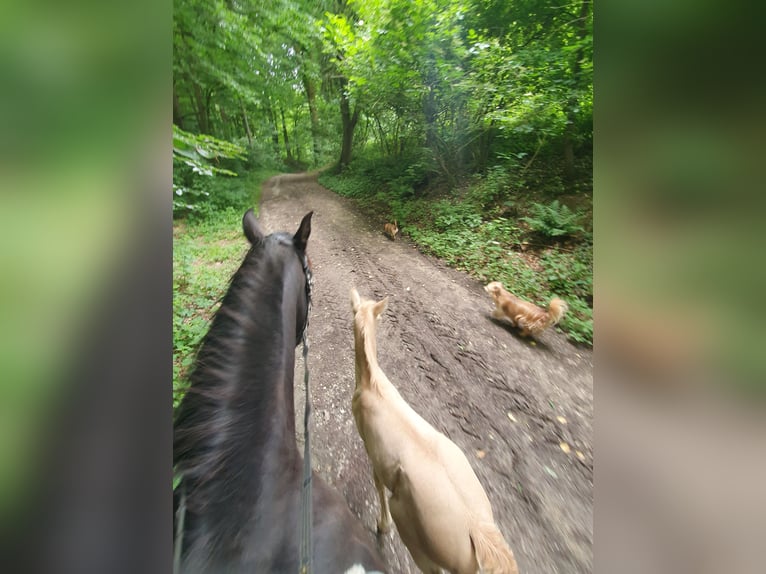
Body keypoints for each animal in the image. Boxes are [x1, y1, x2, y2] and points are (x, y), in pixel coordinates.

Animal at [350, 292, 520, 574]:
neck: (371, 383)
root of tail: (477, 532)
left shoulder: (370, 447)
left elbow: (377, 484)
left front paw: (381, 526)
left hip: (419, 535)